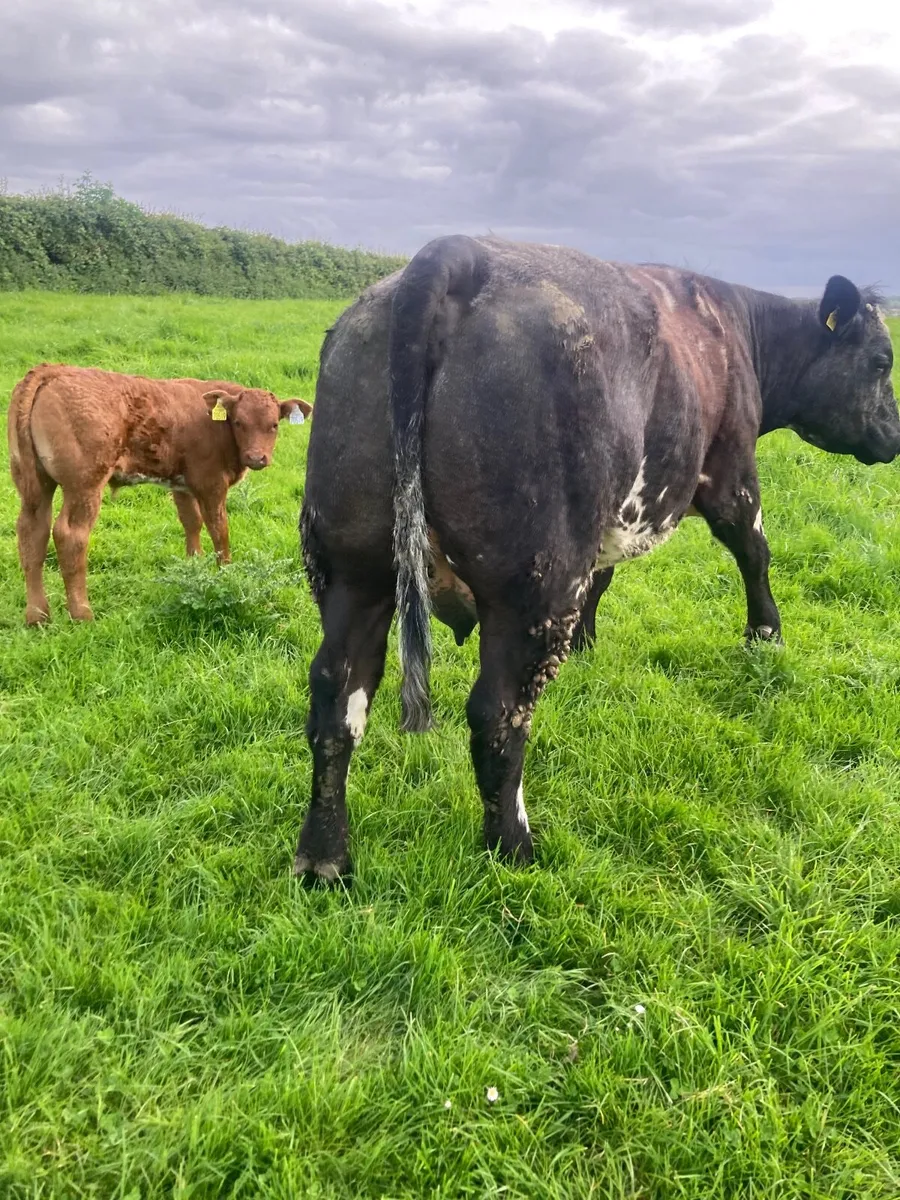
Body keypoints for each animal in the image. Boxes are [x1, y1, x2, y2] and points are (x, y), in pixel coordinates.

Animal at [8, 363, 312, 625]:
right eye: (238, 422)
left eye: (274, 424)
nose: (256, 457)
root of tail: (53, 370)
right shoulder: (211, 484)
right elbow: (219, 529)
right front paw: (226, 573)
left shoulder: (182, 485)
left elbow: (191, 523)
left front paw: (194, 567)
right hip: (84, 484)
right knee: (70, 535)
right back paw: (82, 614)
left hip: (34, 483)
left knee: (32, 532)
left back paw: (37, 616)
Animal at [294, 234, 899, 884]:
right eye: (882, 361)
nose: (895, 436)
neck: (736, 328)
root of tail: (456, 253)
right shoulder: (731, 470)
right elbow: (754, 555)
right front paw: (766, 636)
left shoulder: (611, 514)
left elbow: (604, 579)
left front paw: (587, 643)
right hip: (533, 580)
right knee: (497, 713)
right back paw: (515, 848)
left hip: (354, 571)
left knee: (336, 699)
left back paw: (324, 858)